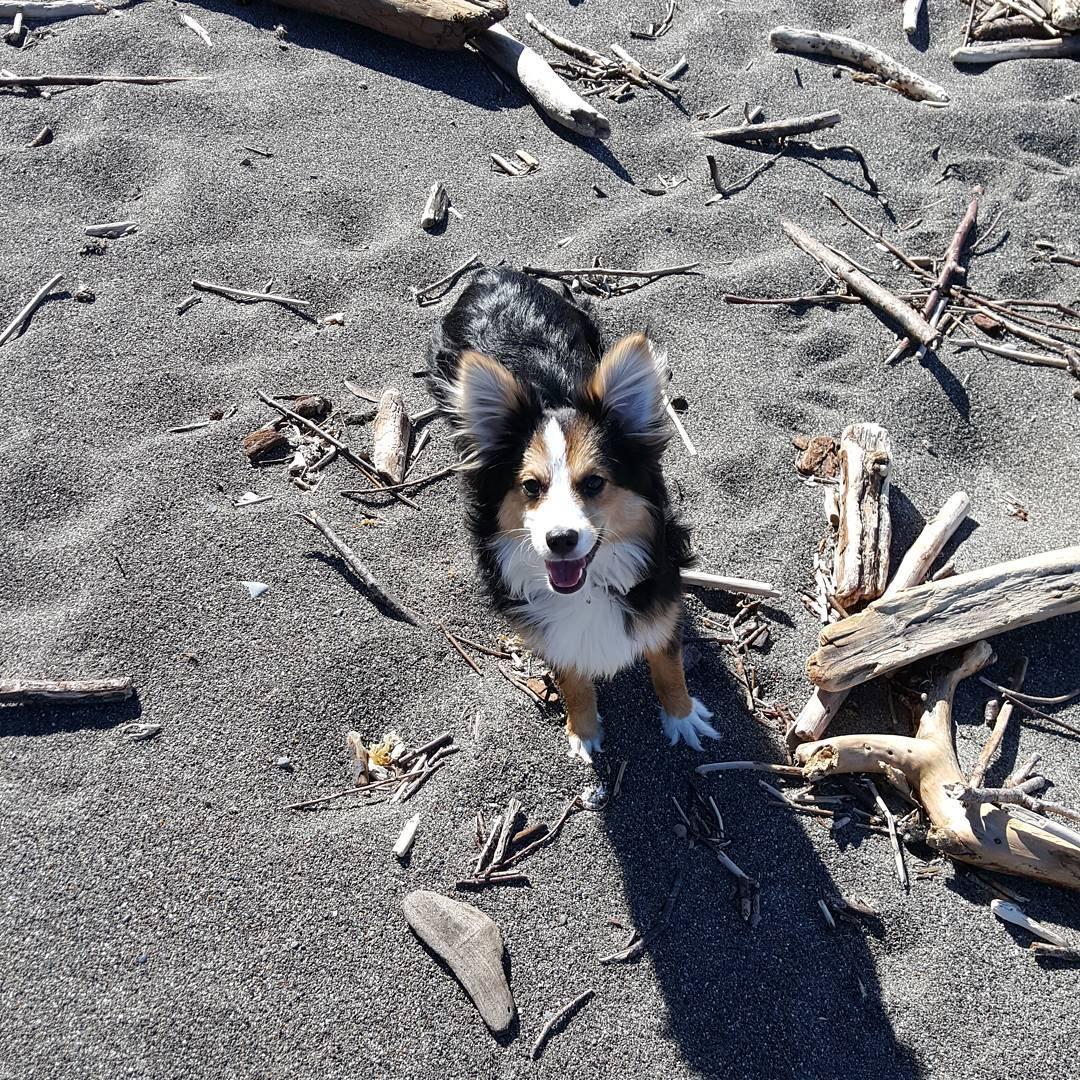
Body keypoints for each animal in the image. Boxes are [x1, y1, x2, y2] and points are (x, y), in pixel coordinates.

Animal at [427, 266, 717, 764]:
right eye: (530, 486)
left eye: (595, 483)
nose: (559, 540)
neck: (589, 588)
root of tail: (491, 272)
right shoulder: (550, 635)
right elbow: (573, 681)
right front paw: (582, 729)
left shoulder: (661, 599)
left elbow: (669, 665)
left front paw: (682, 716)